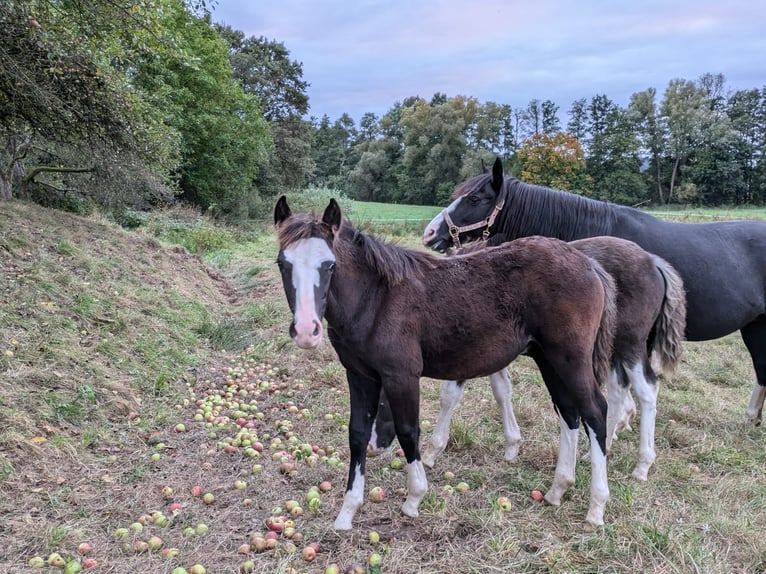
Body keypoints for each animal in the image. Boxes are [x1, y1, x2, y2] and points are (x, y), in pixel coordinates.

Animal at [272, 196, 620, 528]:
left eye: (330, 265)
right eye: (282, 263)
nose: (306, 331)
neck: (376, 299)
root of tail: (589, 264)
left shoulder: (401, 375)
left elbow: (408, 430)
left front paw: (414, 498)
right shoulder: (360, 375)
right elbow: (357, 433)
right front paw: (347, 513)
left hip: (571, 358)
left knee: (594, 412)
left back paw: (596, 507)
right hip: (549, 359)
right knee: (569, 411)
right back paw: (558, 489)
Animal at [374, 236, 688, 484]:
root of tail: (654, 261)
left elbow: (449, 396)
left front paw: (432, 451)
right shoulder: (490, 353)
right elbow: (502, 391)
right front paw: (512, 445)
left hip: (626, 345)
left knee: (645, 389)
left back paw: (641, 464)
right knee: (618, 389)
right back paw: (600, 448)